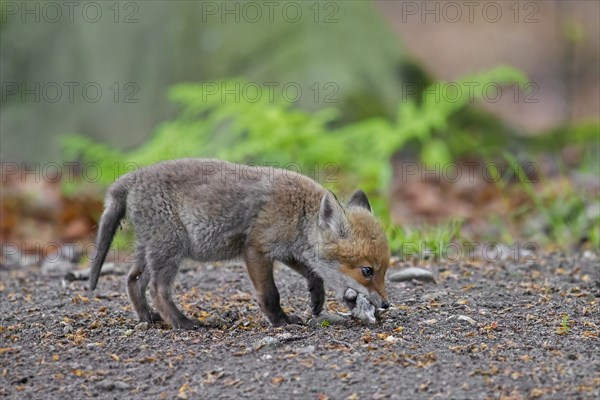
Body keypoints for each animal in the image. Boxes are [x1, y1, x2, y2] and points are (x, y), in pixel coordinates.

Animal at [88, 159, 390, 328]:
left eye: (385, 270)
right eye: (367, 271)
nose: (386, 305)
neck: (299, 212)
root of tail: (130, 178)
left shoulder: (286, 250)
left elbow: (313, 272)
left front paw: (317, 299)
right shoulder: (256, 249)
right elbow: (270, 294)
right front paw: (280, 321)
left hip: (149, 248)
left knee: (133, 280)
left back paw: (147, 318)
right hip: (170, 249)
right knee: (157, 289)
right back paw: (183, 323)